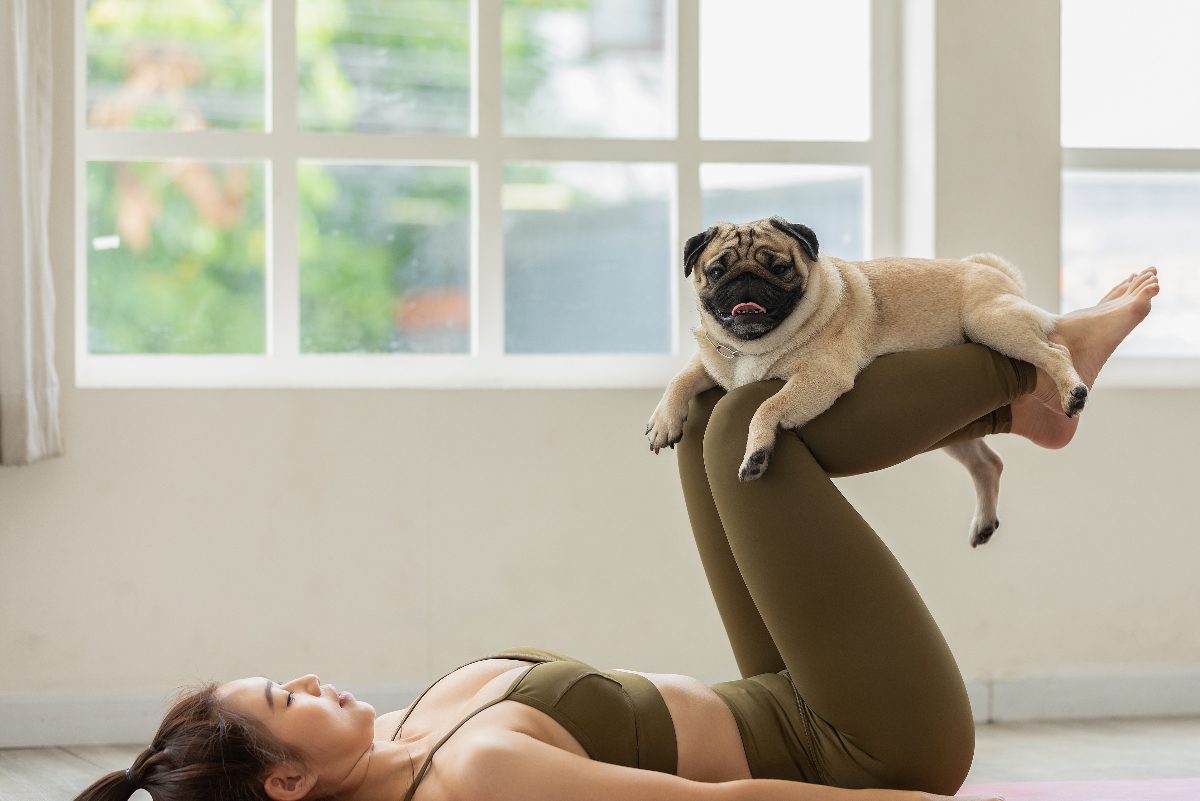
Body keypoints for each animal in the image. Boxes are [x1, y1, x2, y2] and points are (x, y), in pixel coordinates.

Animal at [648, 215, 1089, 546]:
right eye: (716, 271)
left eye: (779, 268)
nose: (746, 281)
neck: (752, 348)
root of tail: (990, 269)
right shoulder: (714, 360)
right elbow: (682, 378)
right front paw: (664, 421)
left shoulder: (820, 375)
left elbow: (766, 405)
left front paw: (756, 451)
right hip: (950, 424)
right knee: (987, 463)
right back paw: (983, 521)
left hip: (989, 323)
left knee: (1055, 353)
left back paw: (1073, 393)